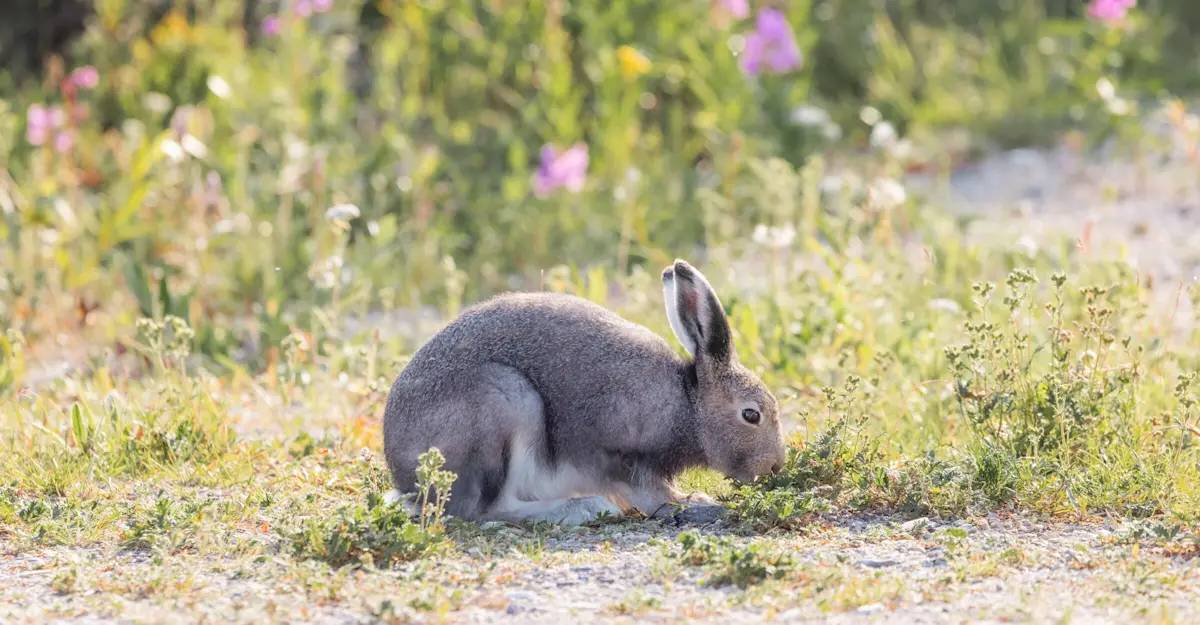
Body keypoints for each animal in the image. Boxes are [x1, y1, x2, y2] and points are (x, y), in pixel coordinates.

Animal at [381, 259, 787, 525]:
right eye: (751, 414)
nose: (775, 466)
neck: (688, 406)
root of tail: (408, 481)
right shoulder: (616, 456)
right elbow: (650, 493)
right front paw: (693, 503)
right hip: (506, 402)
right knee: (482, 510)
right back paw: (582, 508)